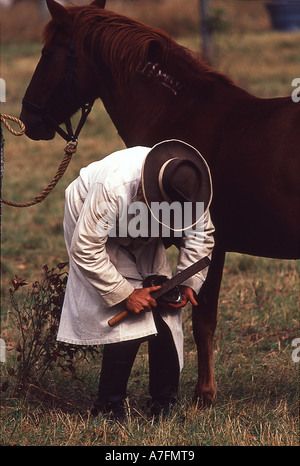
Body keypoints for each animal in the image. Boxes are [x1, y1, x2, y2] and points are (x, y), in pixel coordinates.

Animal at [19, 0, 298, 404]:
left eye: (48, 53)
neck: (180, 114)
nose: (28, 119)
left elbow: (203, 319)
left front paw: (204, 395)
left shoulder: (208, 244)